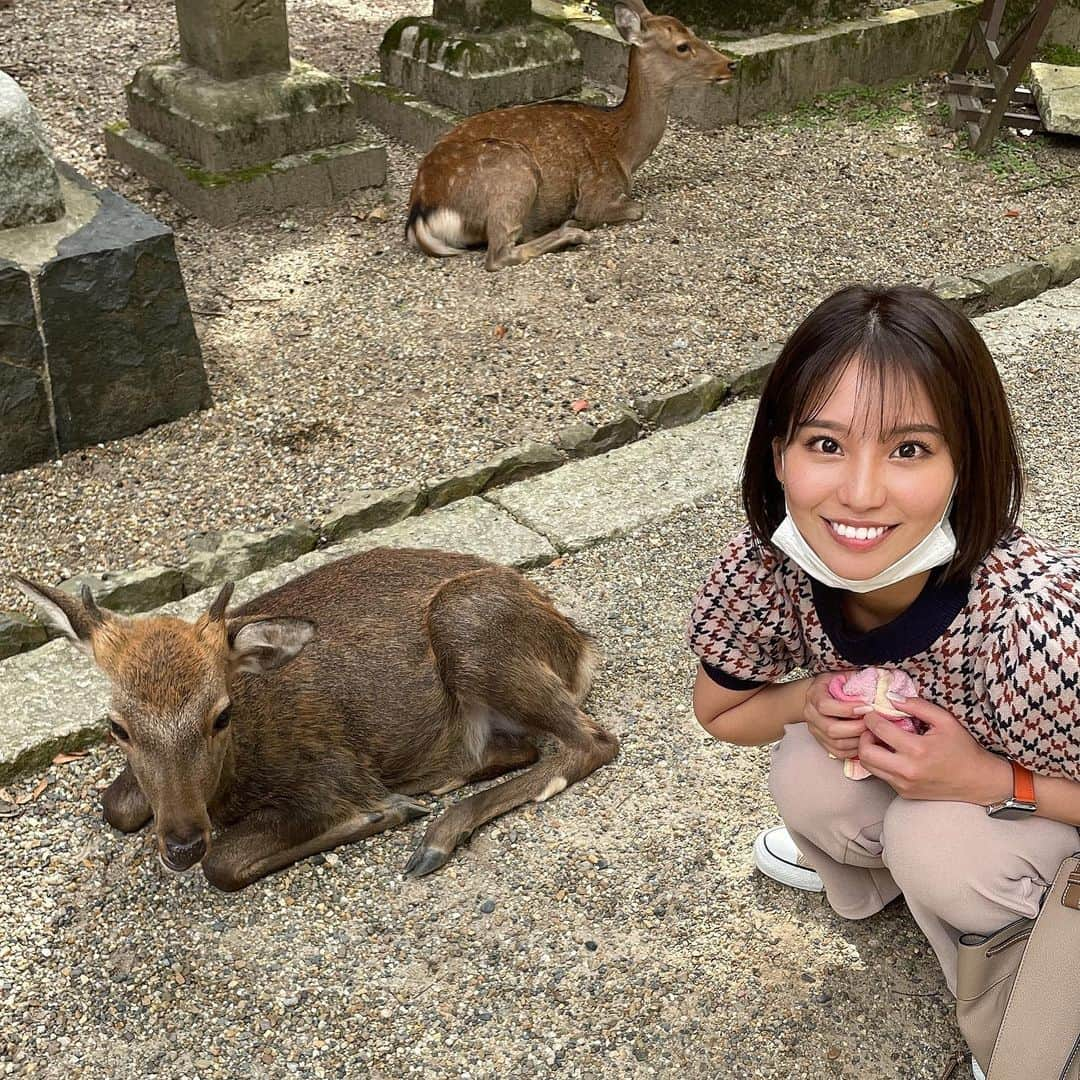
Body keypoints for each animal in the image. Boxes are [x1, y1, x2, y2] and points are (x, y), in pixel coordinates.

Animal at [14, 552, 617, 889]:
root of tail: (580, 645)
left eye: (221, 714)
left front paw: (386, 813)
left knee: (592, 741)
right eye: (117, 726)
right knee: (525, 748)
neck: (232, 784)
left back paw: (435, 835)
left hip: (469, 628)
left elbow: (223, 863)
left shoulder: (329, 776)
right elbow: (115, 803)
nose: (182, 845)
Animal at [406, 0, 734, 270]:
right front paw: (580, 220)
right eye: (682, 46)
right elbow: (635, 208)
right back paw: (571, 231)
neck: (624, 151)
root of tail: (420, 213)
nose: (730, 64)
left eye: (692, 32)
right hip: (512, 175)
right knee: (499, 254)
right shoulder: (598, 191)